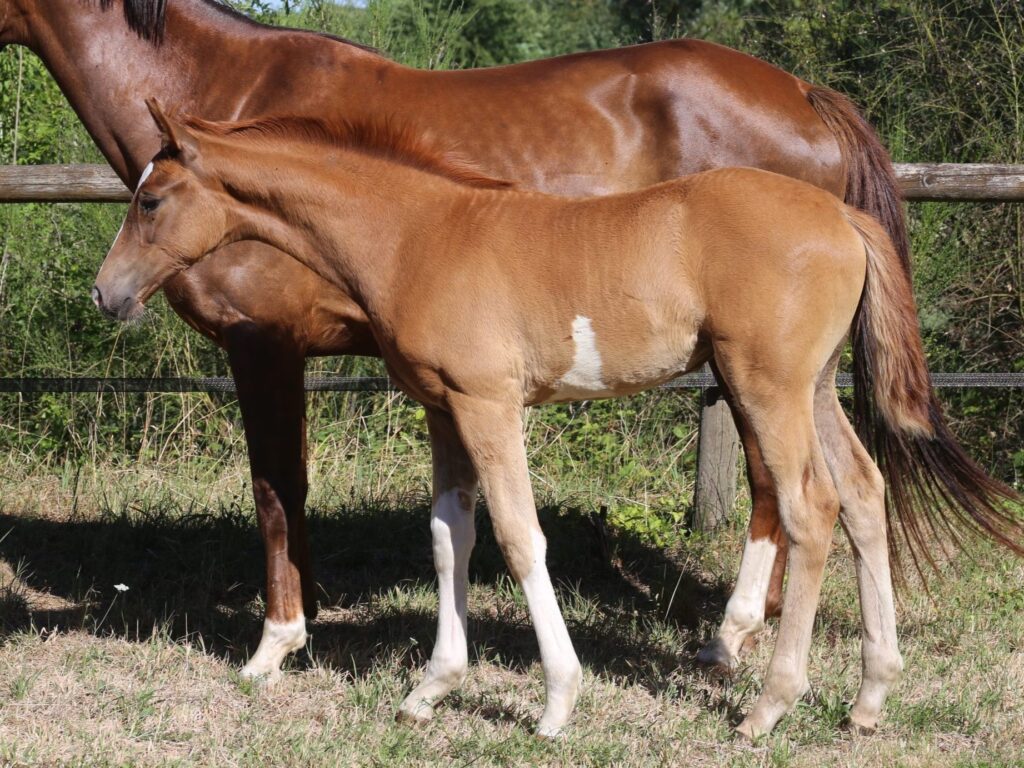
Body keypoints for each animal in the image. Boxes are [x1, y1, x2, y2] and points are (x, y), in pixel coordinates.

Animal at [92, 107, 1019, 741]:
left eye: (153, 200)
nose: (107, 294)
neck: (417, 234)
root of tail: (842, 217)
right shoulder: (443, 410)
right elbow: (450, 538)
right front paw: (431, 688)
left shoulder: (489, 404)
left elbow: (519, 536)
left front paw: (557, 702)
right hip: (817, 385)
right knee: (863, 493)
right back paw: (869, 697)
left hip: (769, 386)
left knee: (810, 507)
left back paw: (768, 706)